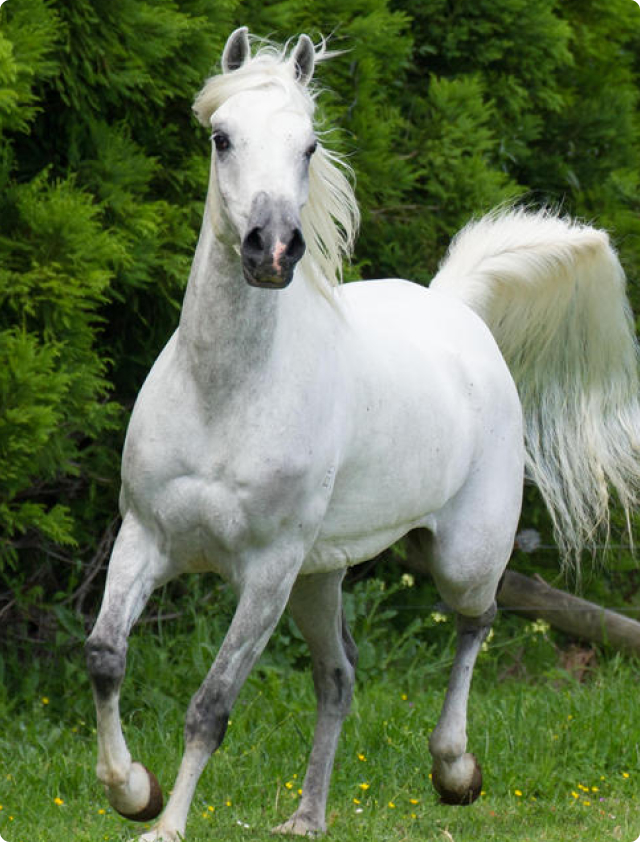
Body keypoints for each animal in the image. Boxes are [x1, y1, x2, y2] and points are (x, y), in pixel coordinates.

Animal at [85, 27, 640, 841]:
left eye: (310, 145)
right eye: (222, 138)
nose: (272, 249)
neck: (225, 396)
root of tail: (456, 309)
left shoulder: (267, 571)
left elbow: (211, 705)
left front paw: (166, 823)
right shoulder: (146, 537)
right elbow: (104, 657)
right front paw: (133, 791)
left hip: (458, 555)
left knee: (478, 619)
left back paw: (454, 770)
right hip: (321, 575)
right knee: (340, 674)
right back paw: (307, 817)